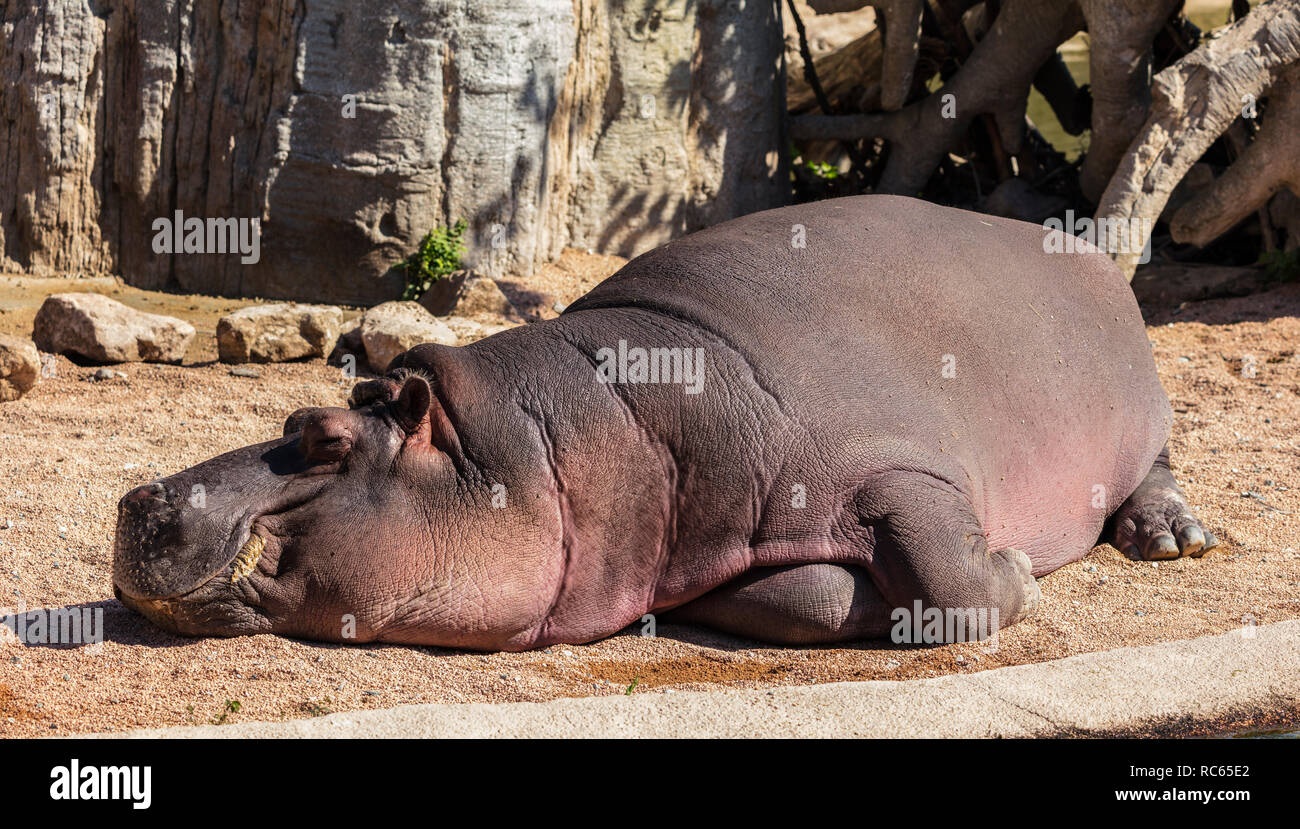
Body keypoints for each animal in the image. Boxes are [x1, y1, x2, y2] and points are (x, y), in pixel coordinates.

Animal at [113, 195, 1218, 650]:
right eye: (295, 411)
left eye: (325, 438)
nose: (140, 496)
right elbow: (816, 598)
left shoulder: (900, 470)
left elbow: (950, 579)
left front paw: (1020, 567)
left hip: (1138, 412)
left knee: (1157, 465)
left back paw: (1174, 537)